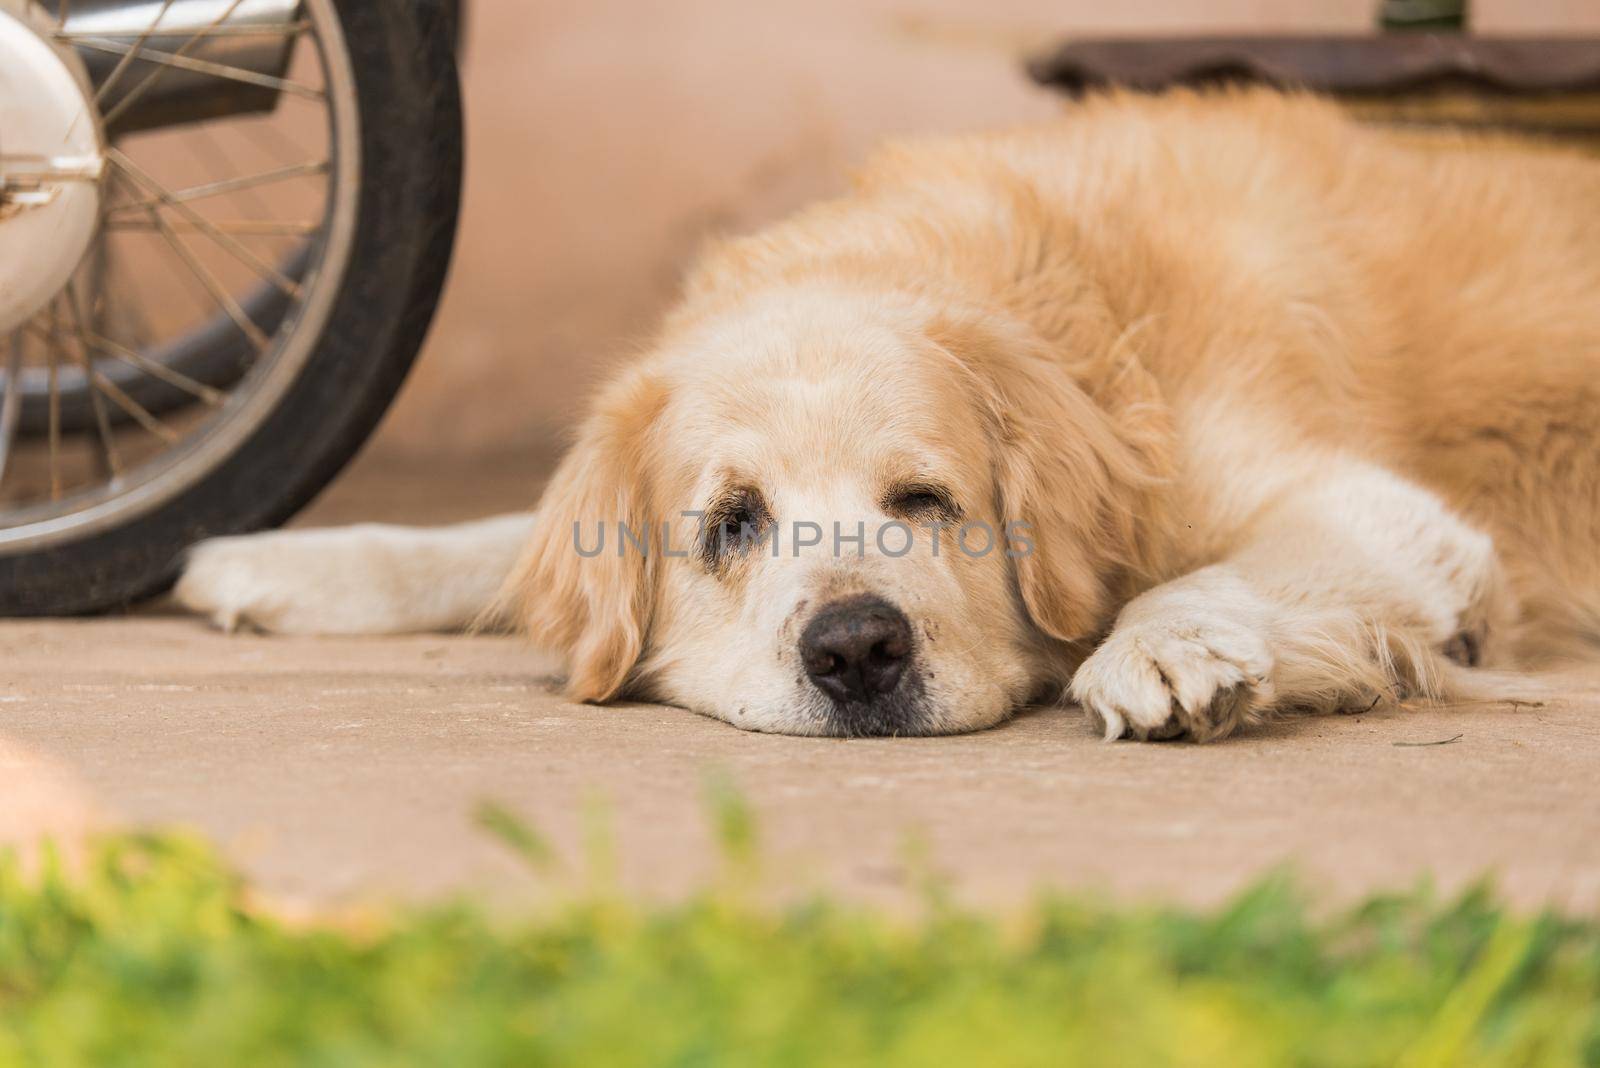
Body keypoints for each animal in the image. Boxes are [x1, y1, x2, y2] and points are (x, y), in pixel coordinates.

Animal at [175, 89, 1600, 741]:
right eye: (733, 523)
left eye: (926, 501)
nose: (856, 650)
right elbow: (493, 540)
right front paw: (287, 563)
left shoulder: (1378, 507)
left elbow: (1204, 577)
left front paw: (1161, 650)